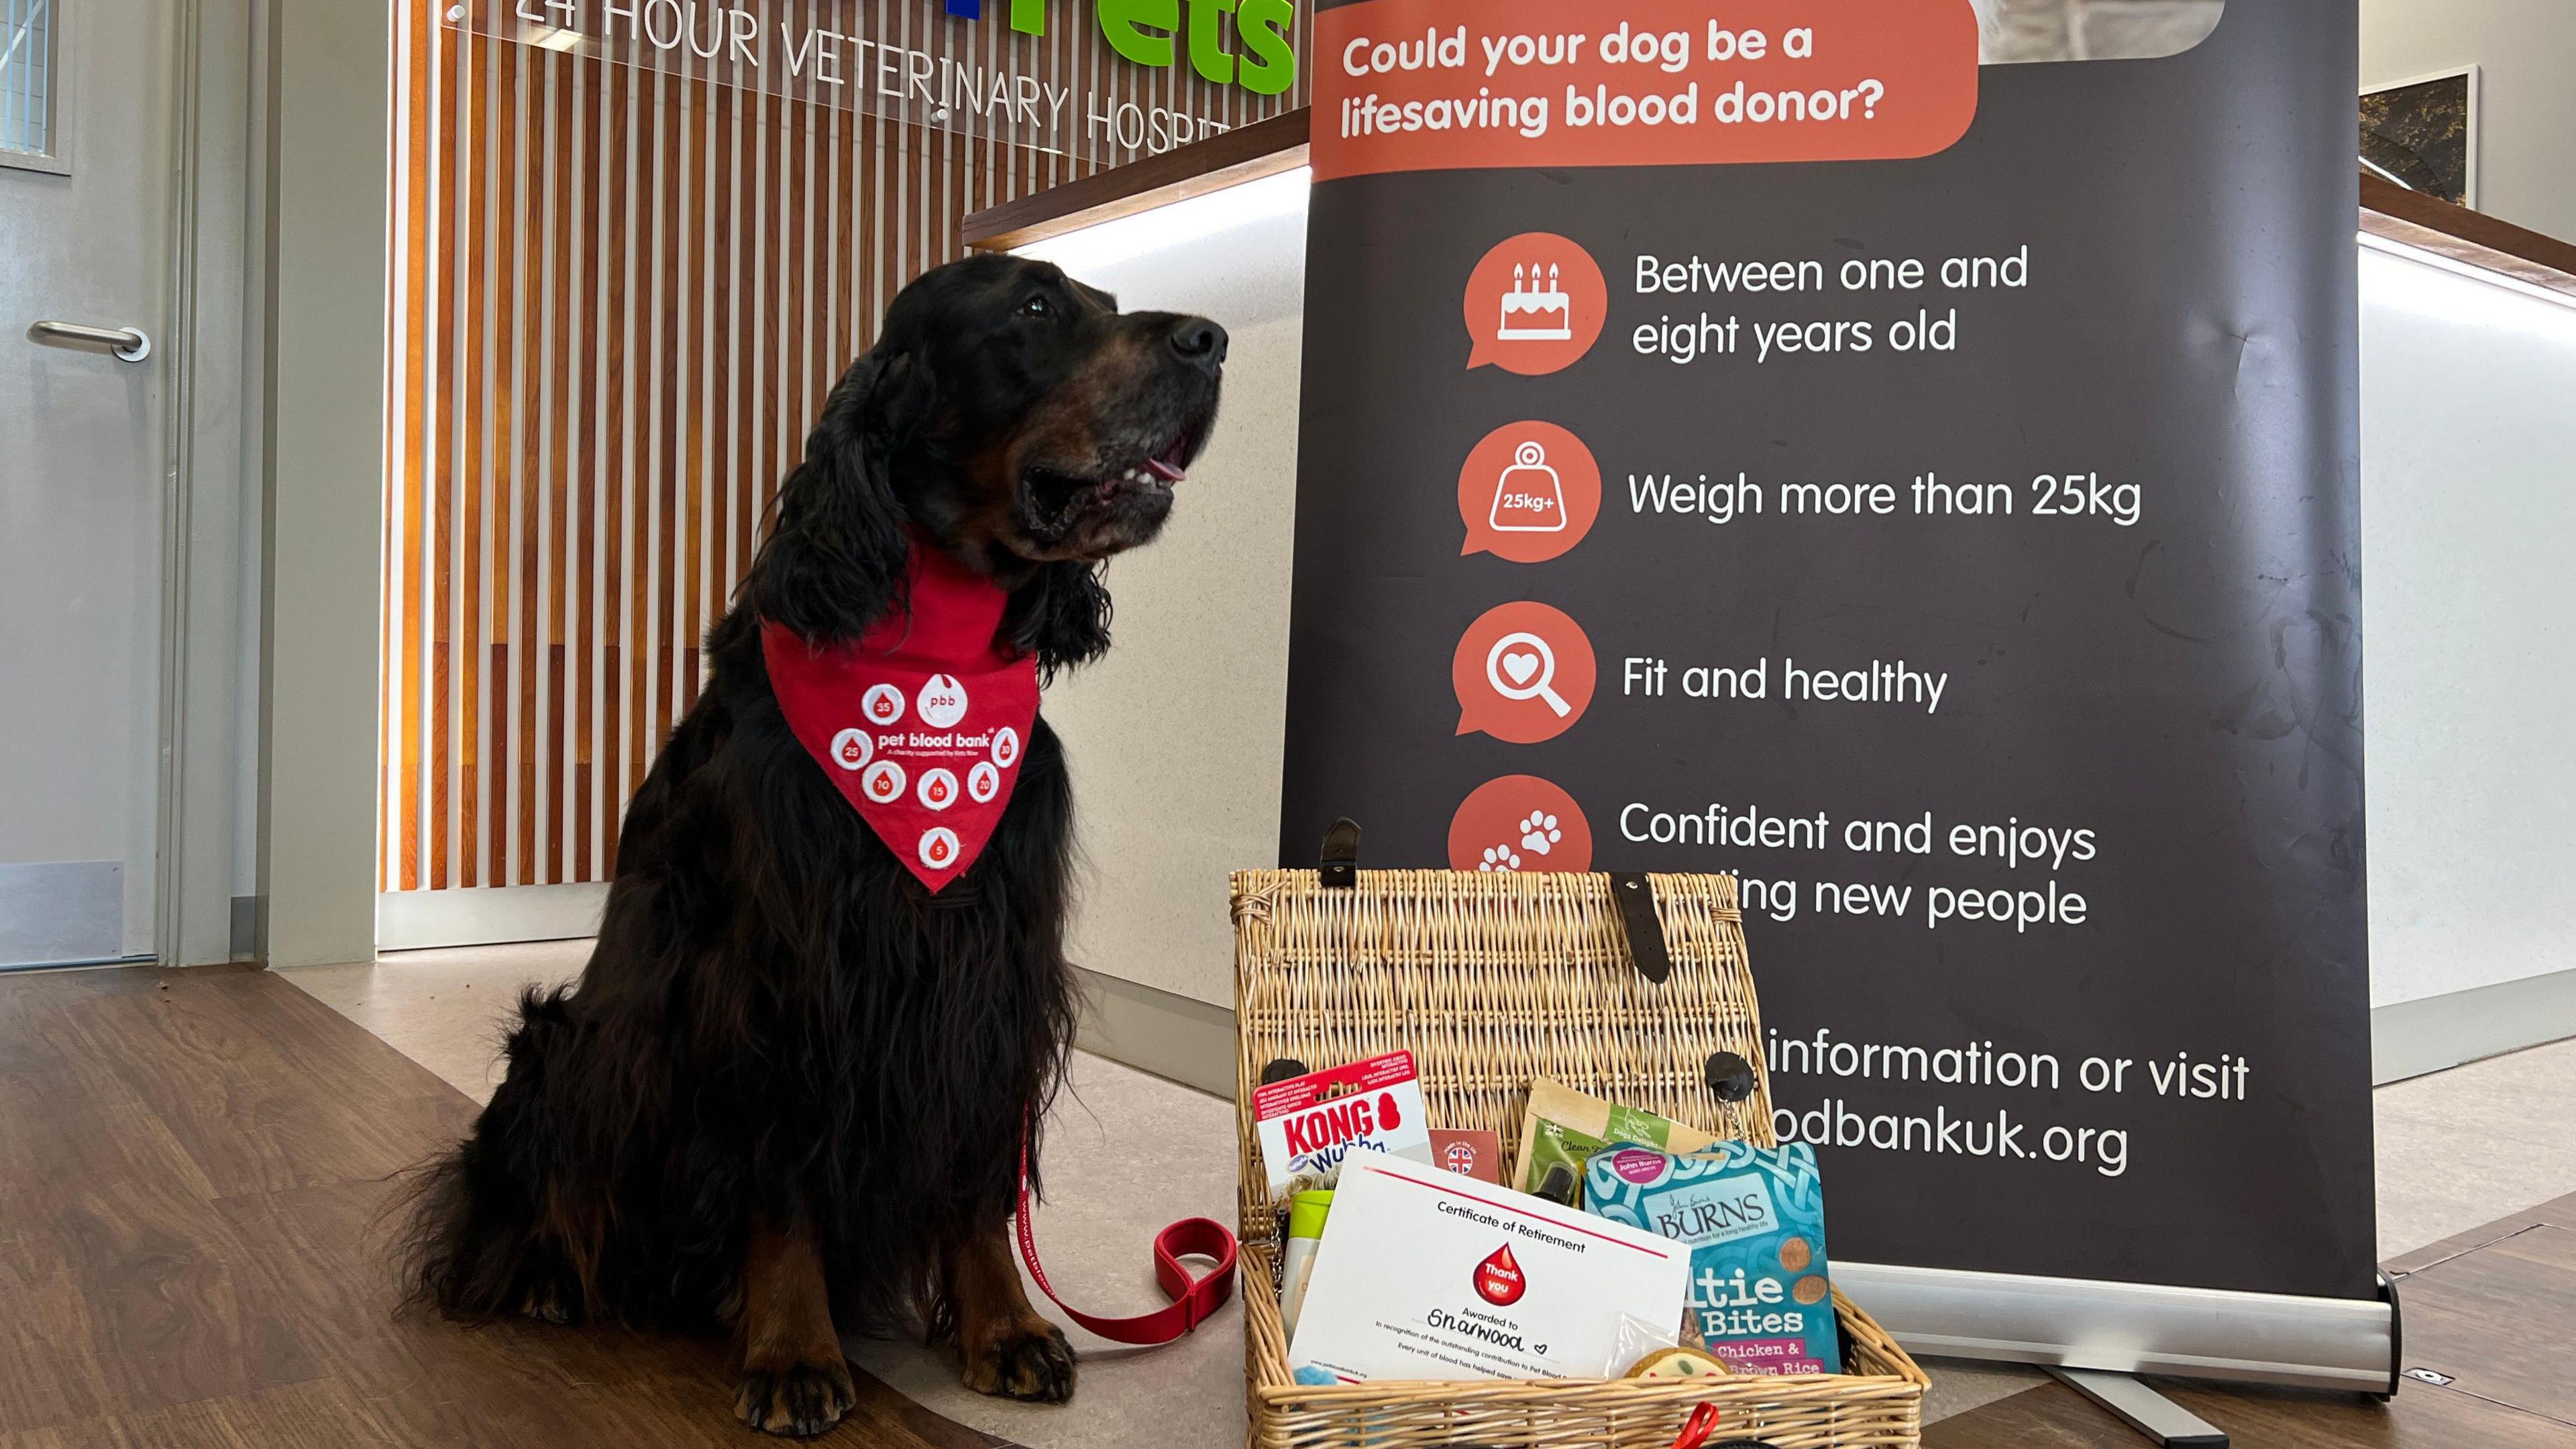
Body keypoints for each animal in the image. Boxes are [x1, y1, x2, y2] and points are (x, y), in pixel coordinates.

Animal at [402, 251, 1226, 1433]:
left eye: (1109, 307)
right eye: (1033, 308)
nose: (1213, 341)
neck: (933, 652)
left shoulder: (991, 971)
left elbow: (976, 1174)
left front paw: (1004, 1326)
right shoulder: (782, 978)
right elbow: (780, 1179)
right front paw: (793, 1352)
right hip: (564, 1043)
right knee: (515, 1191)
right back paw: (554, 1275)